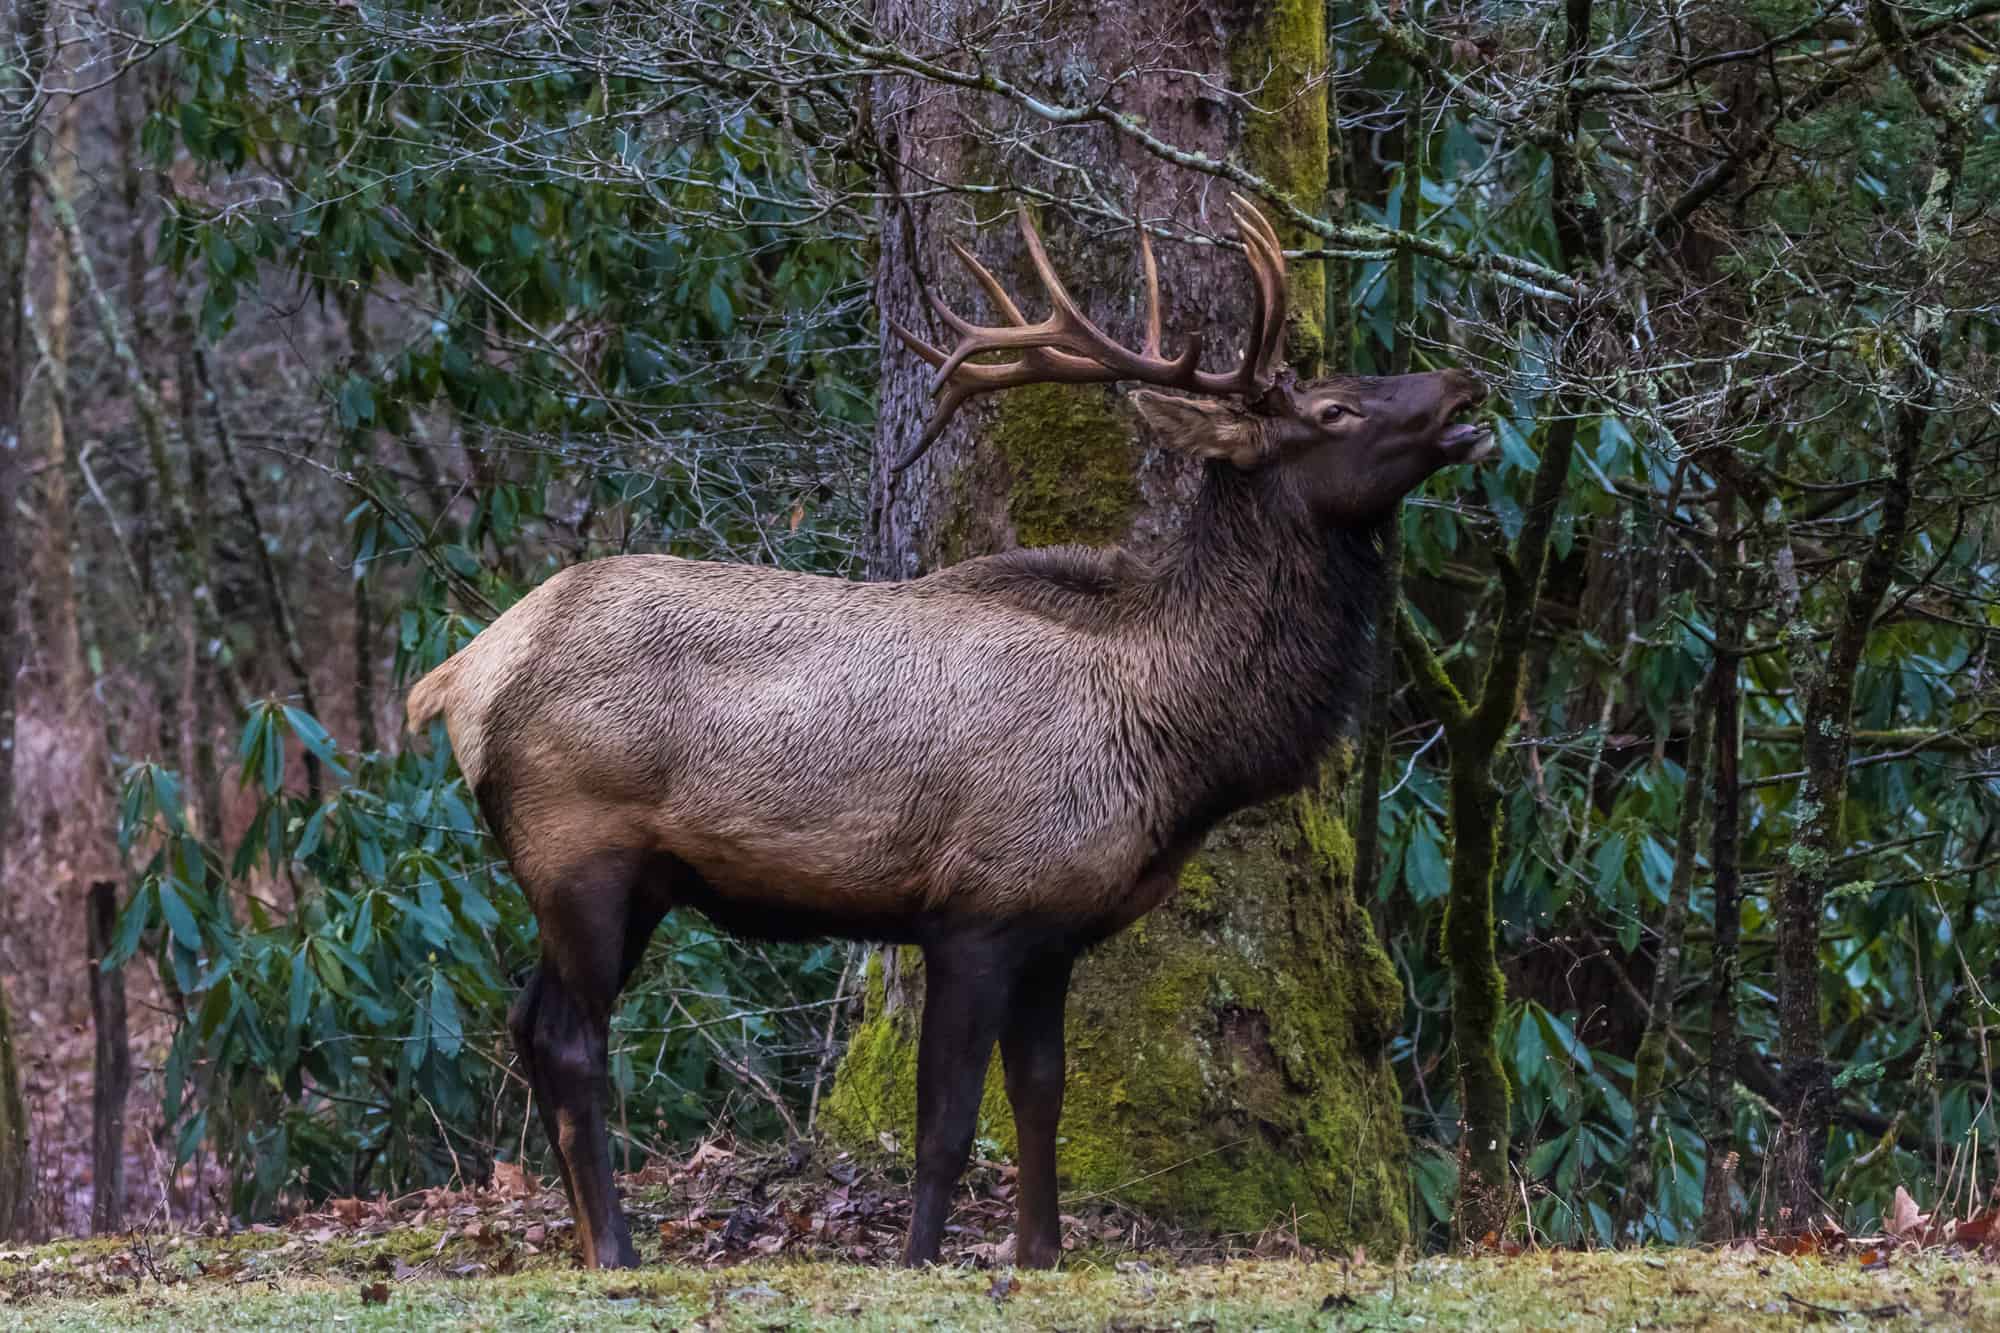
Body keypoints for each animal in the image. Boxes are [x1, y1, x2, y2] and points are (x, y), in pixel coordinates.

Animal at [406, 195, 1496, 1264]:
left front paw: (1041, 1254)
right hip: (579, 853)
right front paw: (921, 1257)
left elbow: (1041, 1095)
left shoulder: (1054, 926)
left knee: (527, 1024)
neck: (1171, 738)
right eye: (1332, 408)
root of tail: (457, 678)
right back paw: (617, 1252)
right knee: (569, 1039)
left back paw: (595, 1240)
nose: (1461, 384)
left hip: (630, 883)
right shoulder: (975, 905)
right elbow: (947, 1119)